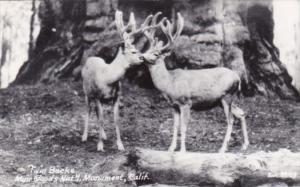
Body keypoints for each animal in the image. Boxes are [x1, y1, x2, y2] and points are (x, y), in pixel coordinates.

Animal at [79, 10, 162, 151]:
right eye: (133, 51)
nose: (143, 57)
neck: (108, 78)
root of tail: (91, 58)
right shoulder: (97, 95)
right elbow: (101, 119)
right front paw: (100, 146)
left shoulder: (116, 96)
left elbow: (116, 119)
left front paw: (120, 145)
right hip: (86, 92)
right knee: (88, 110)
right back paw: (84, 136)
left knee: (95, 112)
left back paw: (104, 135)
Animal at [142, 13, 250, 153]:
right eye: (148, 49)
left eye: (155, 54)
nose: (141, 56)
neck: (170, 83)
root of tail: (238, 78)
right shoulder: (174, 105)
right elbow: (175, 126)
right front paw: (171, 148)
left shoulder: (186, 102)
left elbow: (183, 127)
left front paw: (182, 150)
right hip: (221, 100)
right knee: (241, 113)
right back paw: (245, 145)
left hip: (227, 95)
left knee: (230, 120)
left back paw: (222, 149)